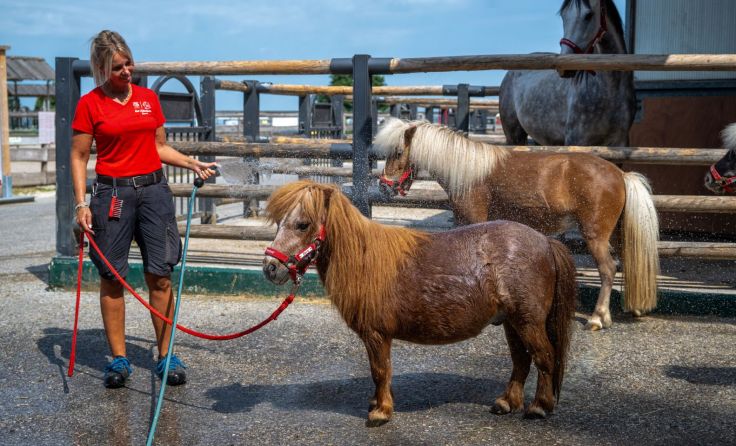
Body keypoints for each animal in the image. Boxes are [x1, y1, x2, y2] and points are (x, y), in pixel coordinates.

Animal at [262, 180, 576, 424]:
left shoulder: (376, 335)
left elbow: (380, 370)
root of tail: (545, 242)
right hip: (512, 323)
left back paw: (539, 407)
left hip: (528, 322)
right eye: (279, 223)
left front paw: (381, 412)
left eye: (302, 224)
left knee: (544, 357)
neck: (364, 260)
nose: (270, 269)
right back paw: (506, 403)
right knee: (521, 360)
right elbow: (381, 371)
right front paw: (378, 403)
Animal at [376, 118, 660, 330]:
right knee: (628, 262)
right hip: (618, 234)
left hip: (595, 236)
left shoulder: (473, 221)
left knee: (608, 269)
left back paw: (598, 318)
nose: (385, 185)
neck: (468, 172)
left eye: (398, 152)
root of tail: (620, 174)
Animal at [499, 0, 635, 147]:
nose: (564, 66)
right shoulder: (576, 139)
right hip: (514, 136)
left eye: (589, 15)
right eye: (563, 16)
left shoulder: (620, 141)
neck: (610, 90)